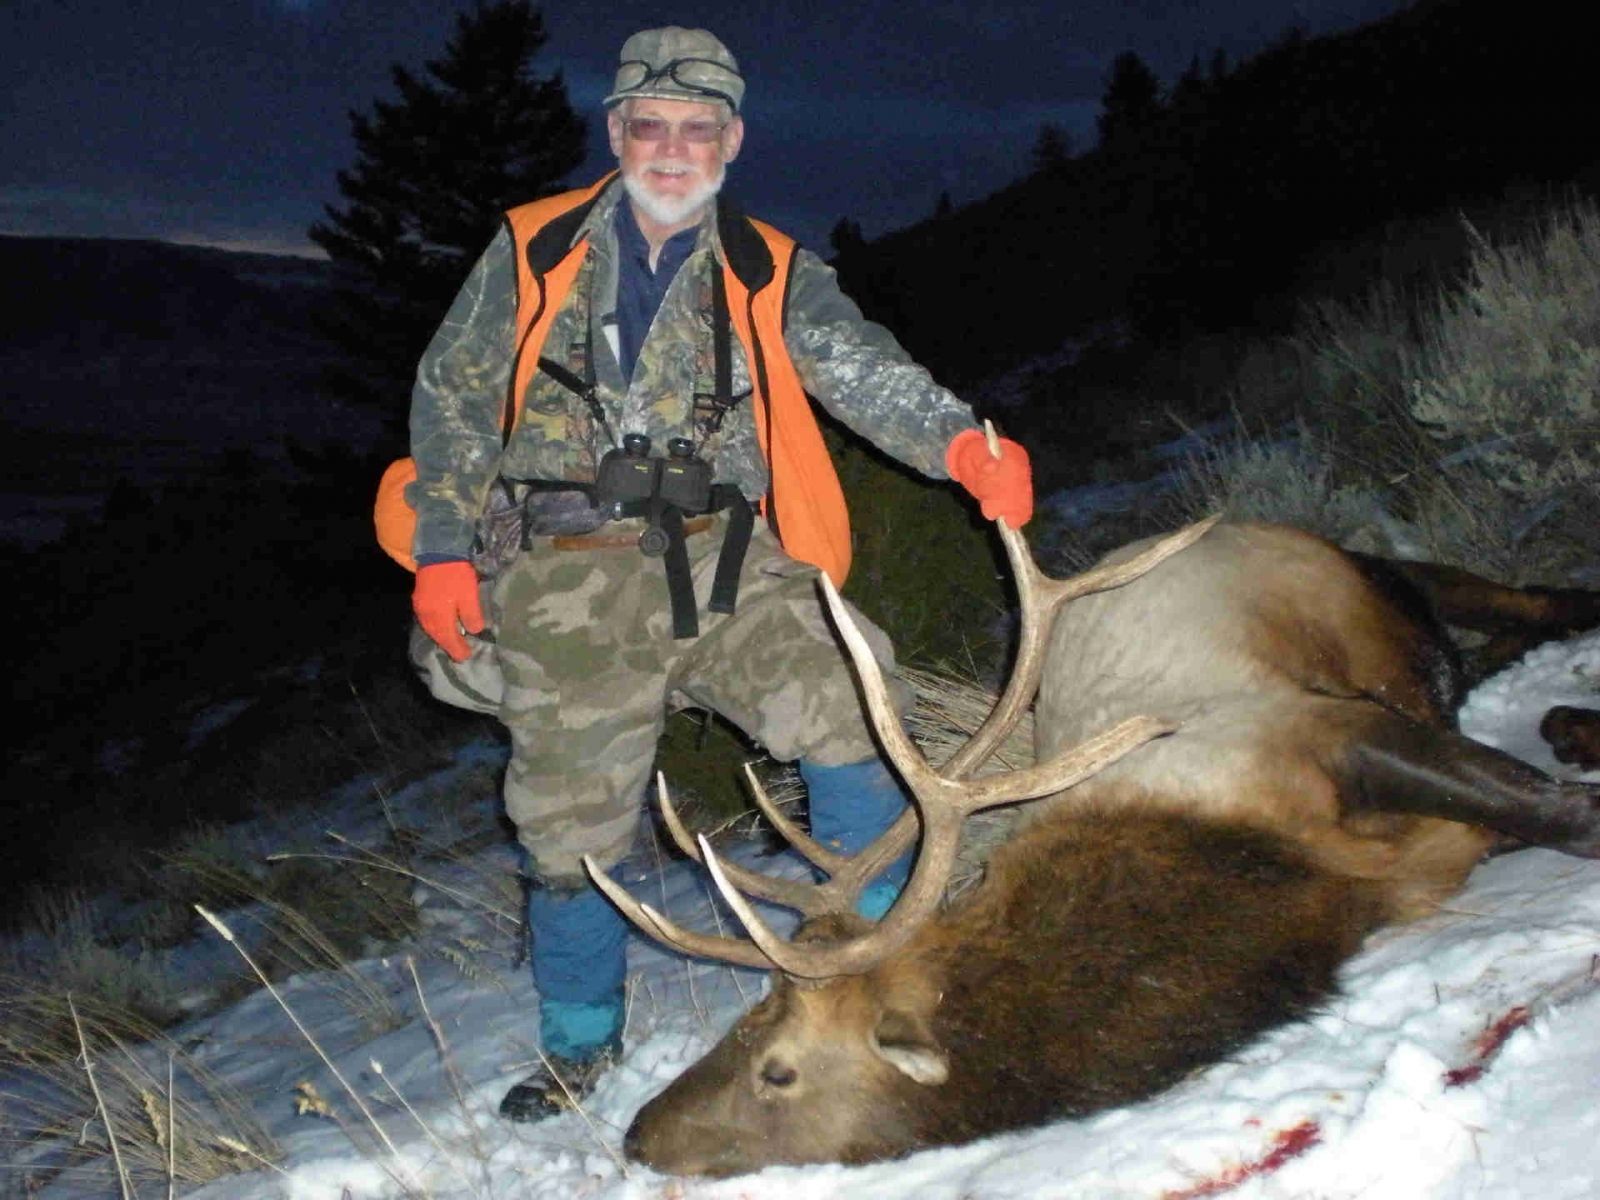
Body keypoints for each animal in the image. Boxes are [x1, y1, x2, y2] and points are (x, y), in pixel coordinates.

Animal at [587, 501, 1600, 1178]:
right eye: (743, 1021)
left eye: (778, 1070)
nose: (637, 1134)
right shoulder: (1410, 852)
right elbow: (1540, 811)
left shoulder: (1307, 730)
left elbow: (1566, 818)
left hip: (1366, 575)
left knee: (1520, 593)